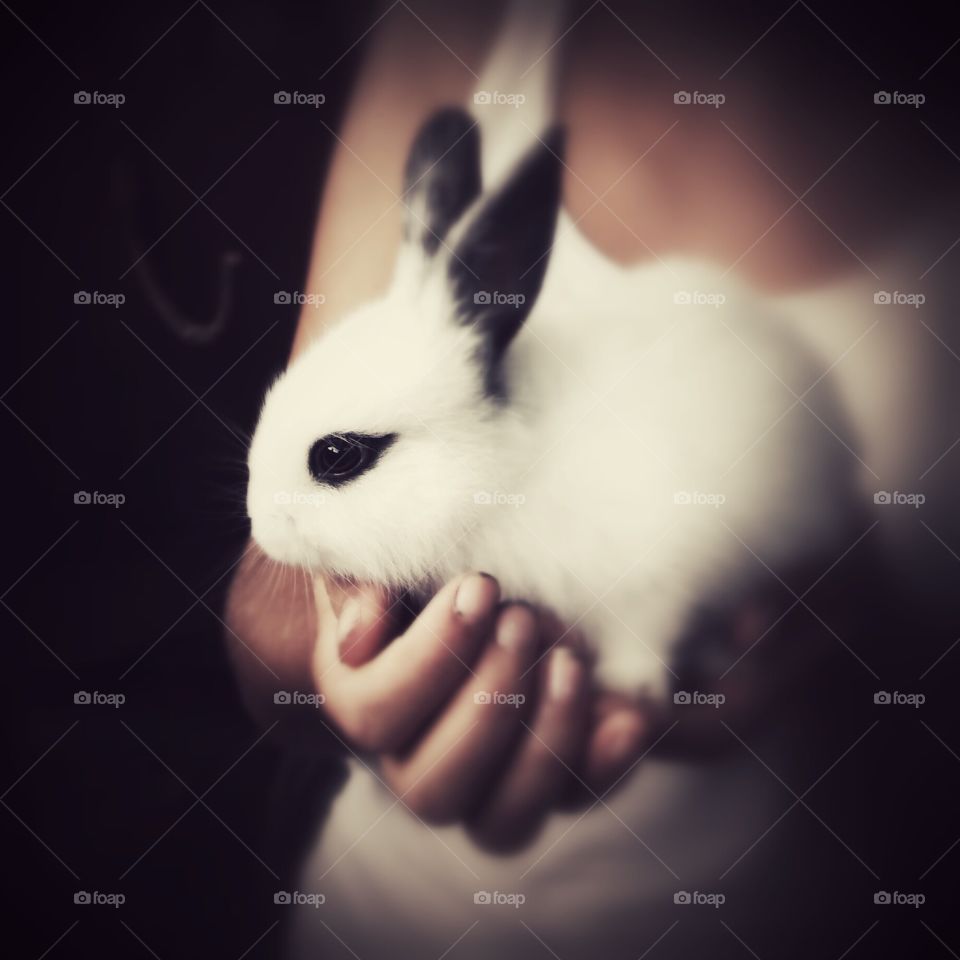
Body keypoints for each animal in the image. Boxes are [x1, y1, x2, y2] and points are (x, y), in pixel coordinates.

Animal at [246, 101, 859, 700]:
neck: (505, 479)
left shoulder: (655, 573)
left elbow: (647, 626)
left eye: (338, 456)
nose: (261, 528)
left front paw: (627, 685)